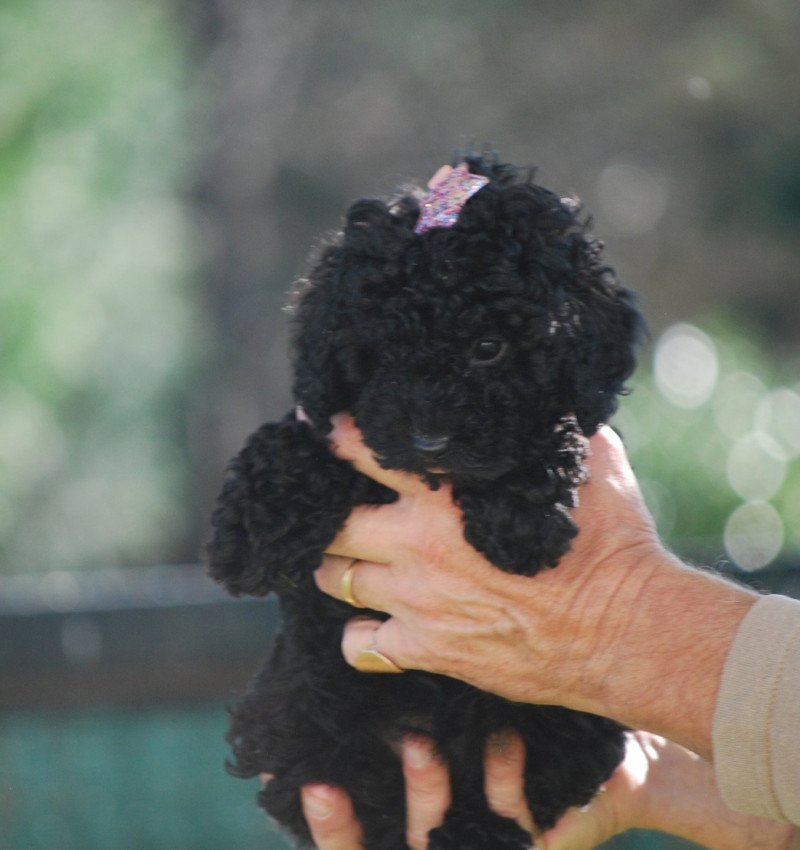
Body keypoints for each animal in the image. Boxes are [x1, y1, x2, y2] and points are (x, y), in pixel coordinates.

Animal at [209, 154, 648, 848]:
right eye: (382, 350)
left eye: (489, 348)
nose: (429, 439)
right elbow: (297, 438)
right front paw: (250, 533)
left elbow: (548, 429)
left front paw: (521, 519)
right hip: (296, 706)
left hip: (565, 719)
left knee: (514, 787)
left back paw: (474, 832)